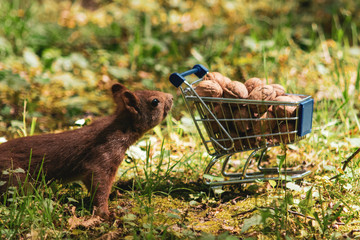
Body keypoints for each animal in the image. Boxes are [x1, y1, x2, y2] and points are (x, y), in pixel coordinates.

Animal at [0, 83, 173, 218]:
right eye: (155, 101)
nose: (171, 96)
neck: (119, 128)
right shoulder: (101, 159)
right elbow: (99, 187)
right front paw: (105, 213)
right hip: (15, 177)